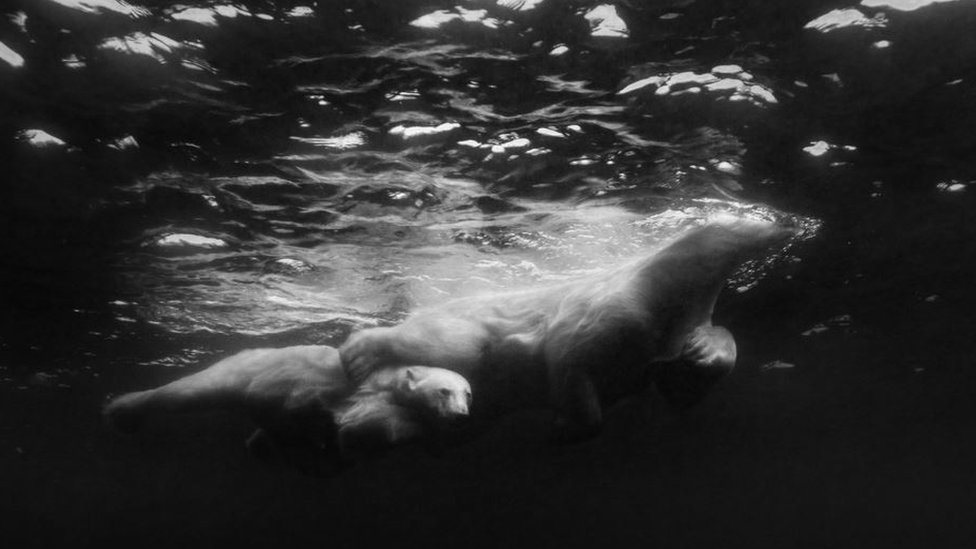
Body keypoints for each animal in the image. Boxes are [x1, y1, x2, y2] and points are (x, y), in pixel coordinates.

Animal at [103, 345, 472, 470]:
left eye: (467, 393)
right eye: (444, 391)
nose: (461, 416)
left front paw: (437, 440)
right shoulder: (361, 393)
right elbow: (361, 423)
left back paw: (262, 446)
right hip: (242, 375)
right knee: (189, 391)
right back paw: (122, 412)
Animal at [340, 217, 796, 442]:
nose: (784, 224)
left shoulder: (665, 333)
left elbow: (680, 384)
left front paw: (703, 352)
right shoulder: (610, 312)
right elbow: (570, 359)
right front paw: (565, 427)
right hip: (470, 324)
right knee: (448, 344)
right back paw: (358, 350)